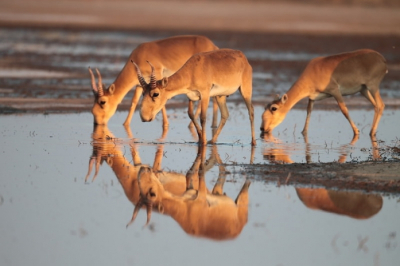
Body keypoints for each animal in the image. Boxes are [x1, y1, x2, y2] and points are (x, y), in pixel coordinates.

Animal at [88, 35, 219, 128]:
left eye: (102, 101)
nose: (97, 123)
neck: (138, 56)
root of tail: (214, 46)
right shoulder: (139, 85)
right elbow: (134, 102)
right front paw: (125, 124)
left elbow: (162, 102)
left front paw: (166, 124)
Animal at [260, 48, 388, 137]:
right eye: (265, 107)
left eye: (274, 108)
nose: (262, 128)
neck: (313, 71)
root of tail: (382, 59)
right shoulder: (312, 98)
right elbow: (309, 112)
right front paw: (303, 132)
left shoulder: (335, 91)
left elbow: (344, 110)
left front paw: (356, 131)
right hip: (364, 90)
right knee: (376, 106)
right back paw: (372, 132)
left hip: (373, 86)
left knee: (381, 105)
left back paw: (372, 132)